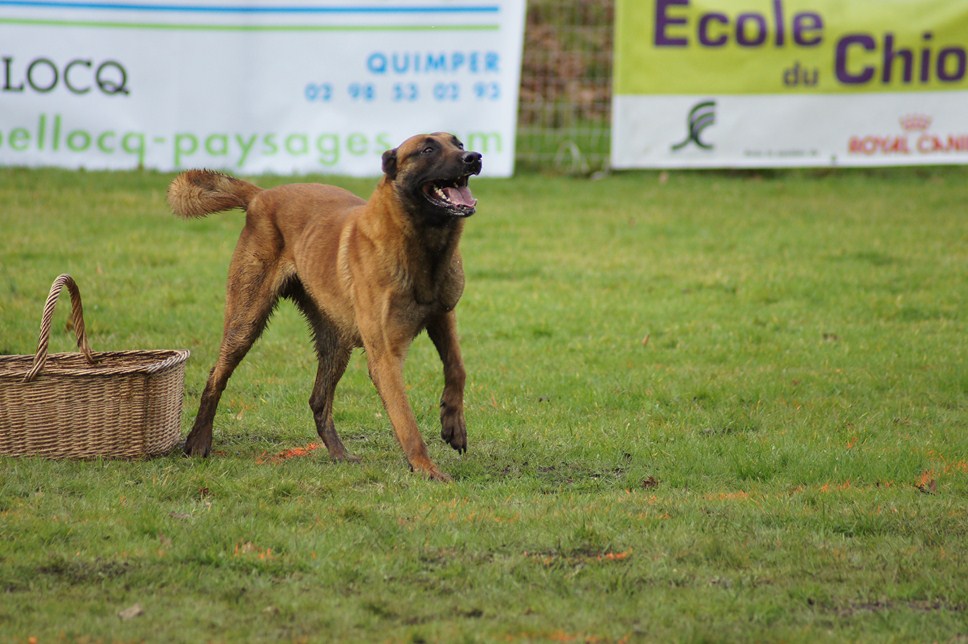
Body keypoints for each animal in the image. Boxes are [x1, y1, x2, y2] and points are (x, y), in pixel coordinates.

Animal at [170, 133, 484, 480]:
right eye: (428, 149)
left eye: (458, 143)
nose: (474, 157)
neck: (424, 246)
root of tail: (262, 195)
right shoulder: (385, 356)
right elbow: (405, 418)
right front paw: (425, 468)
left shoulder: (443, 316)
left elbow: (457, 367)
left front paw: (453, 424)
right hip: (246, 323)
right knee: (216, 377)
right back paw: (198, 441)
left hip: (336, 343)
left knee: (318, 399)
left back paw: (339, 453)